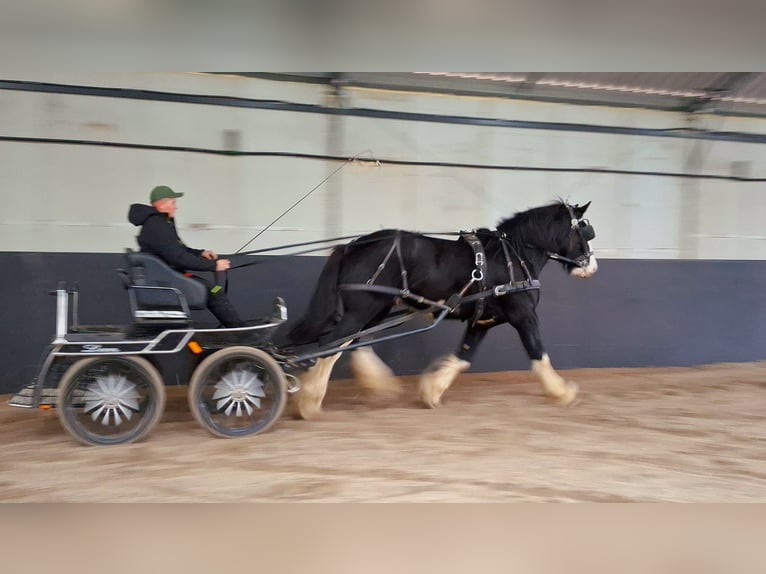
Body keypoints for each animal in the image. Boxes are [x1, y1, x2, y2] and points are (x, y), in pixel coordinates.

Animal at [280, 201, 596, 418]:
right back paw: (309, 402)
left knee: (357, 344)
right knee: (332, 345)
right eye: (585, 231)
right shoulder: (524, 315)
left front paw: (432, 391)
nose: (591, 267)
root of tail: (353, 245)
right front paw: (563, 392)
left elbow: (463, 357)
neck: (513, 257)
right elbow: (538, 352)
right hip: (363, 308)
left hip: (375, 310)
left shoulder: (482, 321)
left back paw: (379, 386)